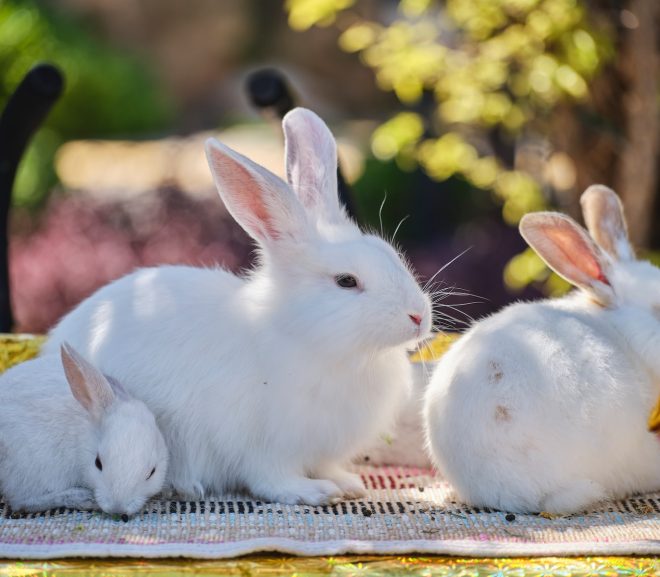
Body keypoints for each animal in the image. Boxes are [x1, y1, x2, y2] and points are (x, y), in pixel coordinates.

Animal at [42, 108, 434, 504]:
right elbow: (271, 478)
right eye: (346, 281)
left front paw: (347, 483)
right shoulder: (262, 443)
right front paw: (313, 492)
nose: (419, 316)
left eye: (392, 255)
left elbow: (325, 465)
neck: (306, 338)